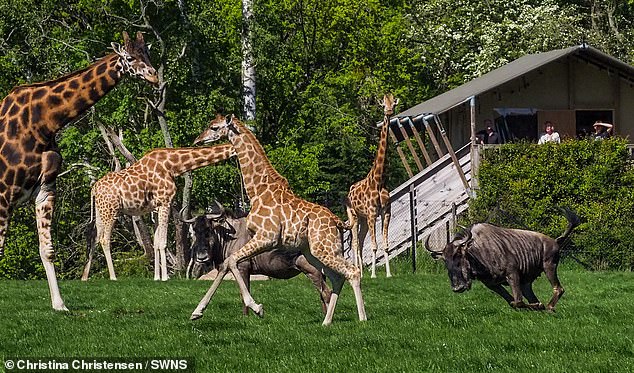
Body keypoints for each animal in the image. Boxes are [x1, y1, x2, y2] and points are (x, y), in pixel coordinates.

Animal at [0, 32, 157, 310]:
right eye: (129, 57)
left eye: (147, 53)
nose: (154, 77)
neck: (43, 124)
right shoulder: (4, 192)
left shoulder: (45, 190)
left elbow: (47, 249)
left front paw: (59, 304)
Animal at [190, 115, 362, 324]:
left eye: (214, 127)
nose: (198, 140)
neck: (257, 191)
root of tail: (339, 222)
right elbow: (227, 264)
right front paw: (197, 312)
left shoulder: (267, 237)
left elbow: (231, 261)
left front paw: (257, 308)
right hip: (316, 253)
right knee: (337, 278)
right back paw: (326, 322)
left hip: (324, 250)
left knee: (352, 272)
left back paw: (362, 320)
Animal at [344, 93, 398, 276]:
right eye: (383, 105)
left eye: (393, 104)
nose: (389, 112)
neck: (379, 180)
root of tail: (349, 192)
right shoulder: (372, 214)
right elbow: (374, 246)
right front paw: (374, 274)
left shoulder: (386, 212)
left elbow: (386, 245)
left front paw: (388, 274)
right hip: (354, 215)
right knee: (354, 242)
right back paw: (358, 271)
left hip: (362, 219)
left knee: (359, 242)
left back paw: (361, 271)